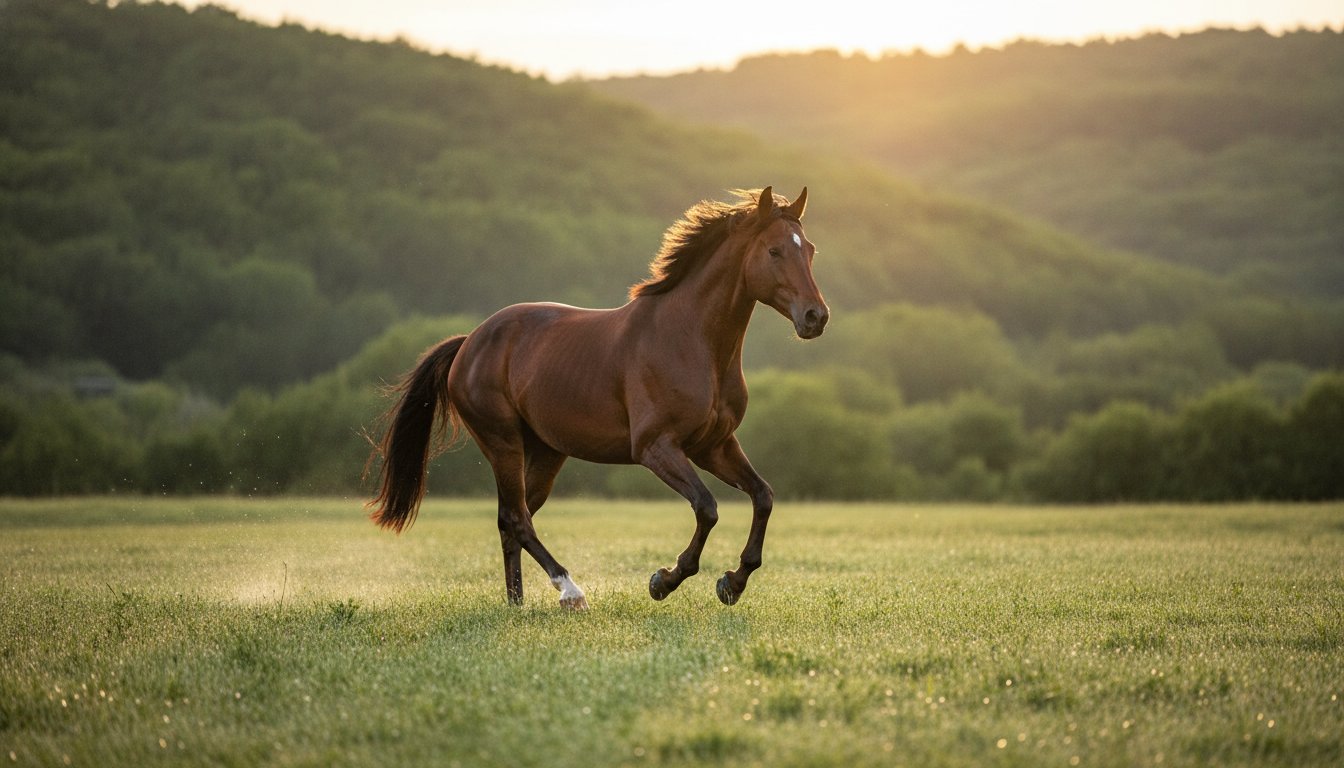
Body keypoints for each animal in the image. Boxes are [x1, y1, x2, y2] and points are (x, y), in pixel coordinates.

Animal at [367, 187, 829, 610]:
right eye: (773, 250)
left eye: (809, 251)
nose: (815, 317)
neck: (691, 341)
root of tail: (469, 343)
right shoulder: (656, 447)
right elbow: (707, 507)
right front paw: (664, 580)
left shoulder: (713, 445)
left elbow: (763, 496)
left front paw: (732, 582)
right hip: (503, 443)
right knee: (517, 518)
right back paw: (570, 591)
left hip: (546, 452)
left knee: (512, 519)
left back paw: (517, 603)